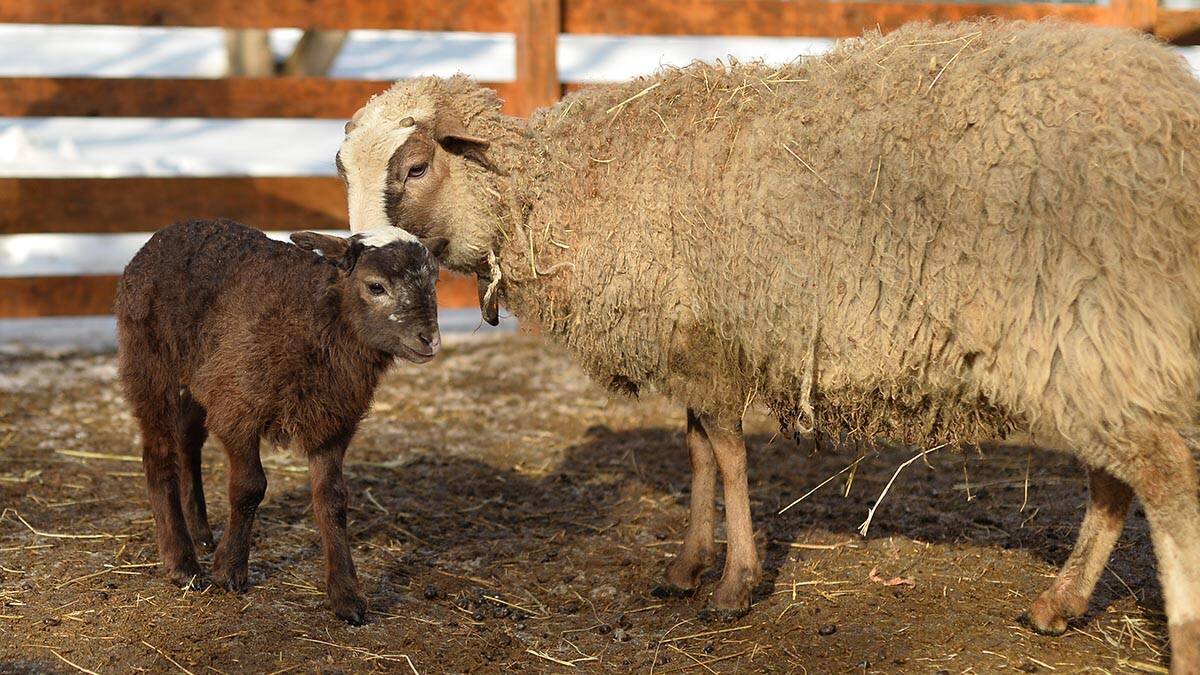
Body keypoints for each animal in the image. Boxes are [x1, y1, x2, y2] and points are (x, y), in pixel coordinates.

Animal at [114, 218, 446, 624]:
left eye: (434, 281)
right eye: (375, 286)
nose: (429, 340)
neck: (315, 317)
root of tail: (166, 233)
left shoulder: (330, 421)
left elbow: (333, 500)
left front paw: (346, 596)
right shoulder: (238, 406)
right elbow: (250, 487)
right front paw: (230, 570)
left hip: (202, 374)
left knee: (187, 438)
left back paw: (201, 531)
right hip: (149, 359)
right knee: (159, 453)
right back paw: (183, 564)